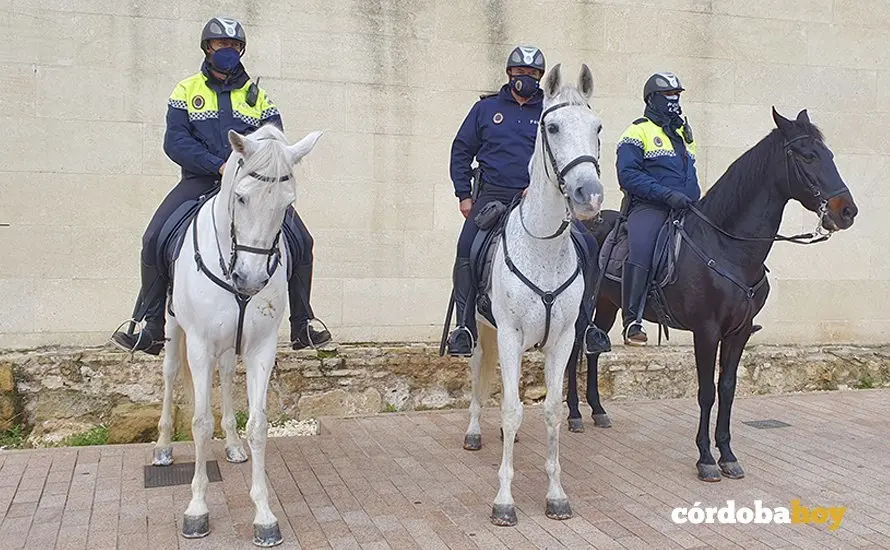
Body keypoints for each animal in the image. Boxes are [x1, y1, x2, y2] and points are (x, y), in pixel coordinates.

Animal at [151, 124, 323, 546]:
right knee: (169, 375)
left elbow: (258, 425)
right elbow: (199, 424)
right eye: (241, 197)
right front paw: (197, 510)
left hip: (231, 344)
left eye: (288, 204)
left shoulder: (261, 348)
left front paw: (264, 515)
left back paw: (231, 445)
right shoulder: (199, 345)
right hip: (173, 329)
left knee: (227, 376)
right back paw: (162, 447)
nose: (251, 279)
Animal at [461, 63, 605, 527]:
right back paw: (474, 432)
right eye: (553, 127)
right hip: (481, 333)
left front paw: (556, 495)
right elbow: (509, 408)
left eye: (597, 127)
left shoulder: (562, 340)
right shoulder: (507, 334)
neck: (543, 245)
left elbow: (552, 412)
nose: (589, 195)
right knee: (478, 375)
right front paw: (504, 500)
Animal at [565, 107, 858, 482]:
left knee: (593, 351)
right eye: (808, 156)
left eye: (830, 154)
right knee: (574, 351)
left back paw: (598, 410)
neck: (727, 247)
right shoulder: (706, 332)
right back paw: (574, 414)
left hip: (607, 305)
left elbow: (727, 390)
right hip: (579, 309)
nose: (847, 211)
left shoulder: (739, 332)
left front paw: (728, 455)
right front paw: (705, 458)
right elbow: (706, 392)